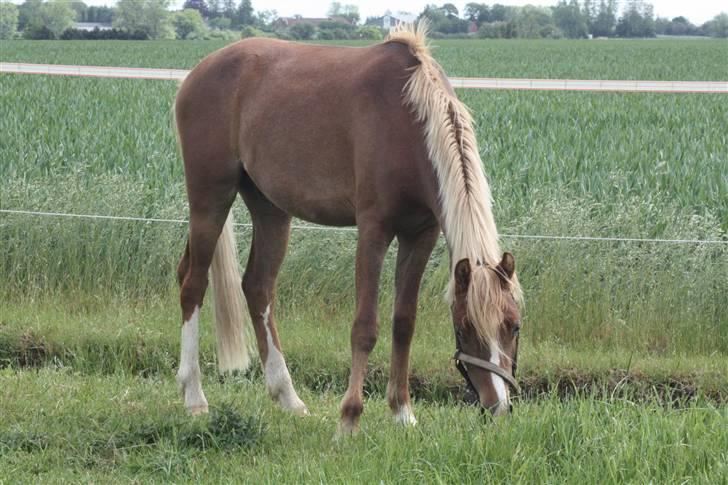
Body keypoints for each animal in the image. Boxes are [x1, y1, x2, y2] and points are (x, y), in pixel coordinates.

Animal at [172, 22, 524, 432]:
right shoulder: (373, 230)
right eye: (465, 328)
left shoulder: (420, 234)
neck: (408, 121)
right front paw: (349, 418)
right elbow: (365, 326)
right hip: (210, 198)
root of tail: (199, 71)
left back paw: (288, 398)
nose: (497, 407)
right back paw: (194, 397)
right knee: (193, 285)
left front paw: (403, 412)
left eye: (514, 326)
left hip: (270, 209)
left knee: (257, 288)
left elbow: (404, 322)